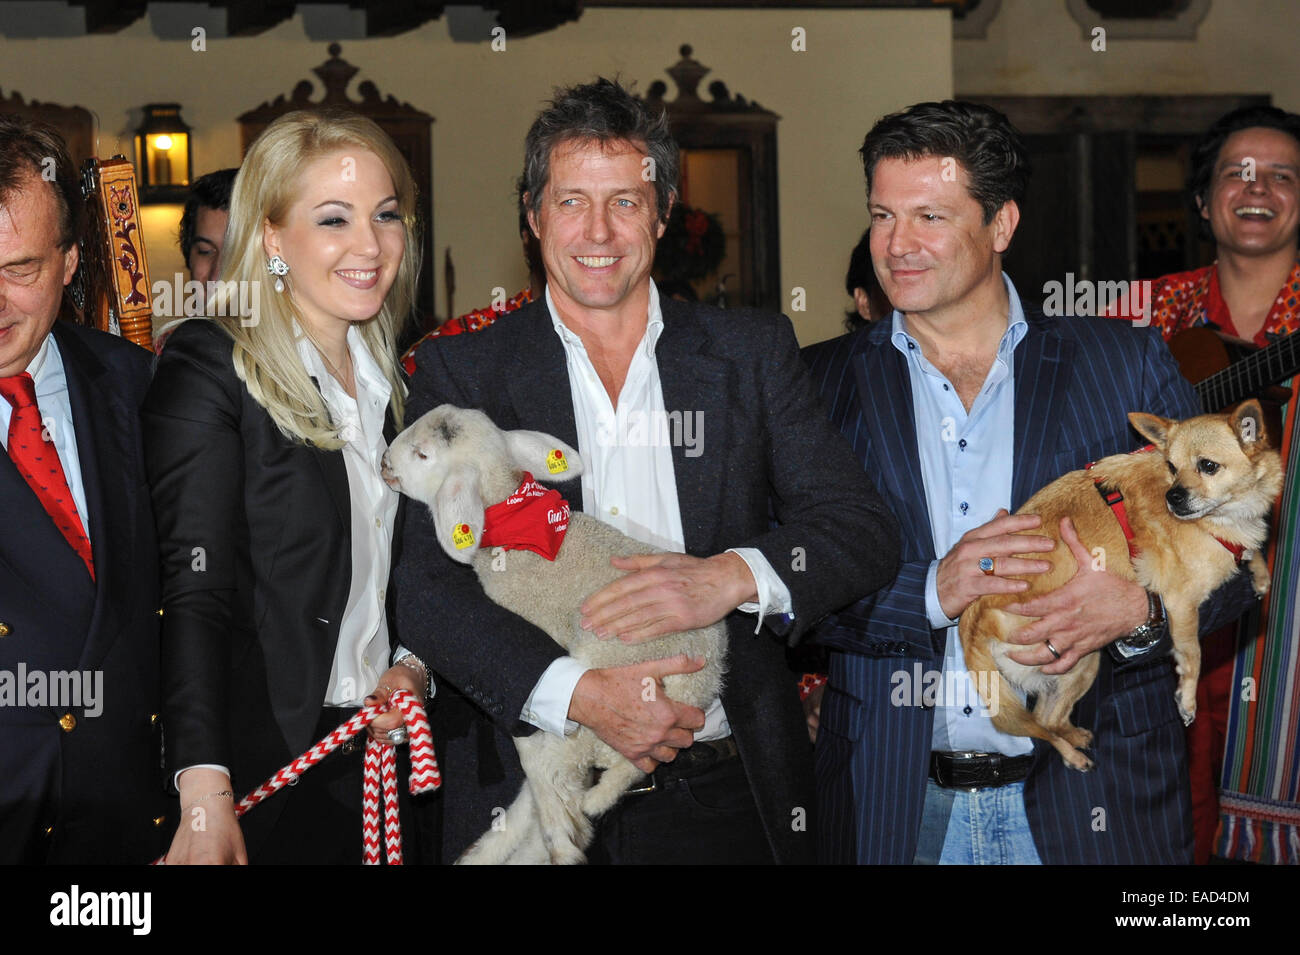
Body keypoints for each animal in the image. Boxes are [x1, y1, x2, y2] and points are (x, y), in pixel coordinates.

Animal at [379, 402, 728, 867]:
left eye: (422, 454)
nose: (383, 463)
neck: (509, 517)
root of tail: (703, 674)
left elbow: (533, 752)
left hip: (613, 682)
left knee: (576, 762)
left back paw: (574, 818)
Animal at [961, 400, 1284, 774]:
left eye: (1208, 466)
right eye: (1171, 467)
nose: (1173, 496)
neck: (1224, 516)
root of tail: (975, 620)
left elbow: (1250, 550)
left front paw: (1259, 574)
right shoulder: (1180, 605)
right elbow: (1193, 655)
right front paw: (1187, 700)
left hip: (1081, 662)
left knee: (1047, 718)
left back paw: (1074, 740)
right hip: (1070, 655)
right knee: (1039, 726)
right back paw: (1072, 754)